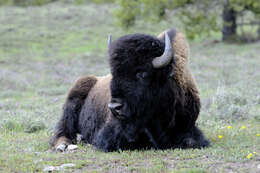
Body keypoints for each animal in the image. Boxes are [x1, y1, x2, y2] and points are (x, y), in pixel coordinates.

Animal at [49, 28, 210, 151]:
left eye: (142, 73)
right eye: (114, 73)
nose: (114, 107)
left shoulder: (188, 126)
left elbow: (191, 141)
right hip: (70, 107)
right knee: (62, 131)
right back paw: (63, 146)